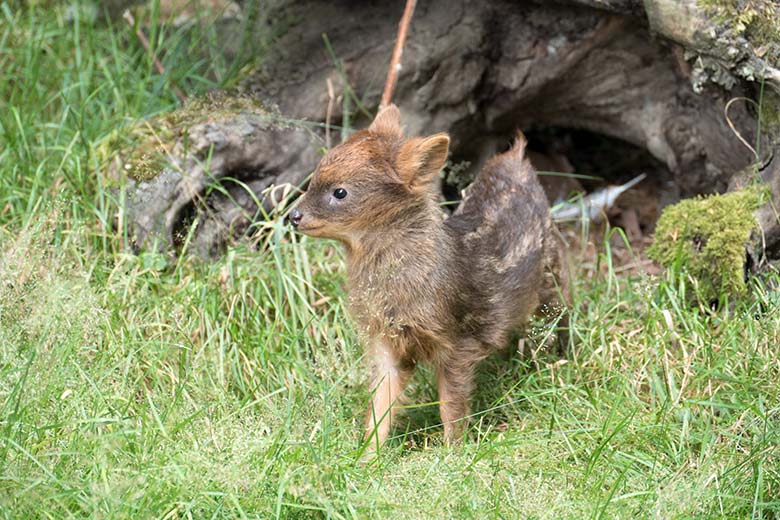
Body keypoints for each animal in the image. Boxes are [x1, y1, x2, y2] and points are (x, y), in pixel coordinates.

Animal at [290, 104, 568, 446]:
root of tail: (516, 159)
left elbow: (451, 406)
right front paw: (367, 453)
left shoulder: (457, 341)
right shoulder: (385, 341)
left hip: (552, 279)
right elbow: (380, 405)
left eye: (340, 191)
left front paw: (453, 449)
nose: (293, 216)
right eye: (314, 177)